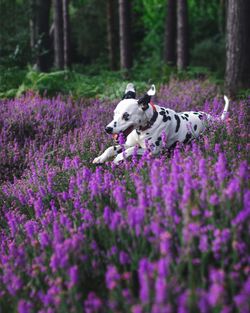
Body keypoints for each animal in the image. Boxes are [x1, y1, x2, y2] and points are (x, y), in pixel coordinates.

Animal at [93, 83, 229, 166]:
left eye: (126, 116)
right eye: (114, 113)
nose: (107, 129)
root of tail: (214, 119)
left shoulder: (153, 150)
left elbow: (130, 150)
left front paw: (118, 159)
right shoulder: (127, 143)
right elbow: (111, 148)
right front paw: (100, 158)